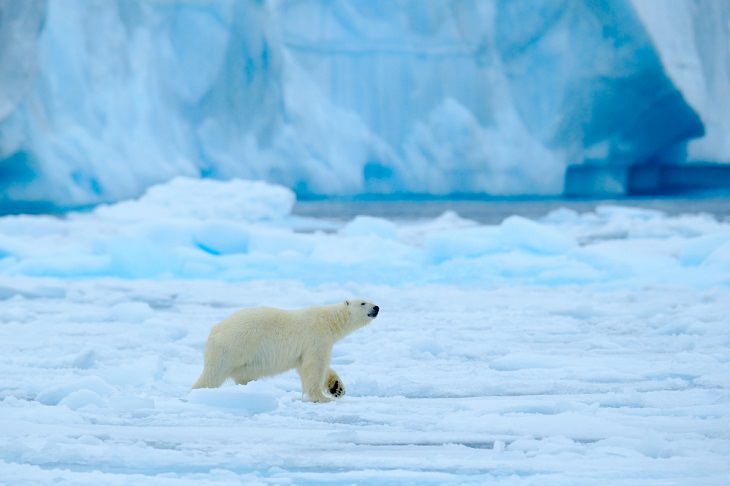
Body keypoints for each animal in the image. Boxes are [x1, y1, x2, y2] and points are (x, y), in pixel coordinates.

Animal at [191, 300, 378, 402]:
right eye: (363, 302)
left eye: (371, 300)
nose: (376, 307)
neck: (328, 321)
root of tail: (214, 331)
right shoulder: (315, 337)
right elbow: (315, 366)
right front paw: (321, 398)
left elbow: (309, 366)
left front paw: (337, 388)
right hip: (233, 347)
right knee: (213, 374)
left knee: (243, 375)